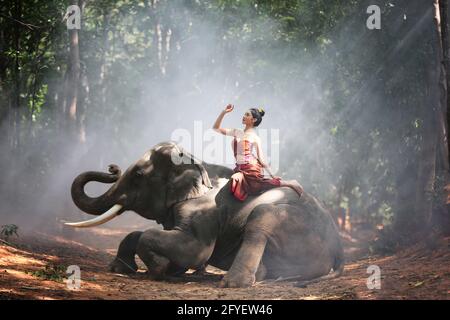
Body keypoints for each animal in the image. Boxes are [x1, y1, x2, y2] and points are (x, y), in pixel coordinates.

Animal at [66, 141, 344, 286]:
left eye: (138, 175)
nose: (112, 167)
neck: (195, 160)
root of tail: (338, 248)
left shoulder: (204, 212)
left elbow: (195, 249)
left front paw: (160, 269)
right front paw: (122, 269)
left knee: (261, 218)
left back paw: (232, 283)